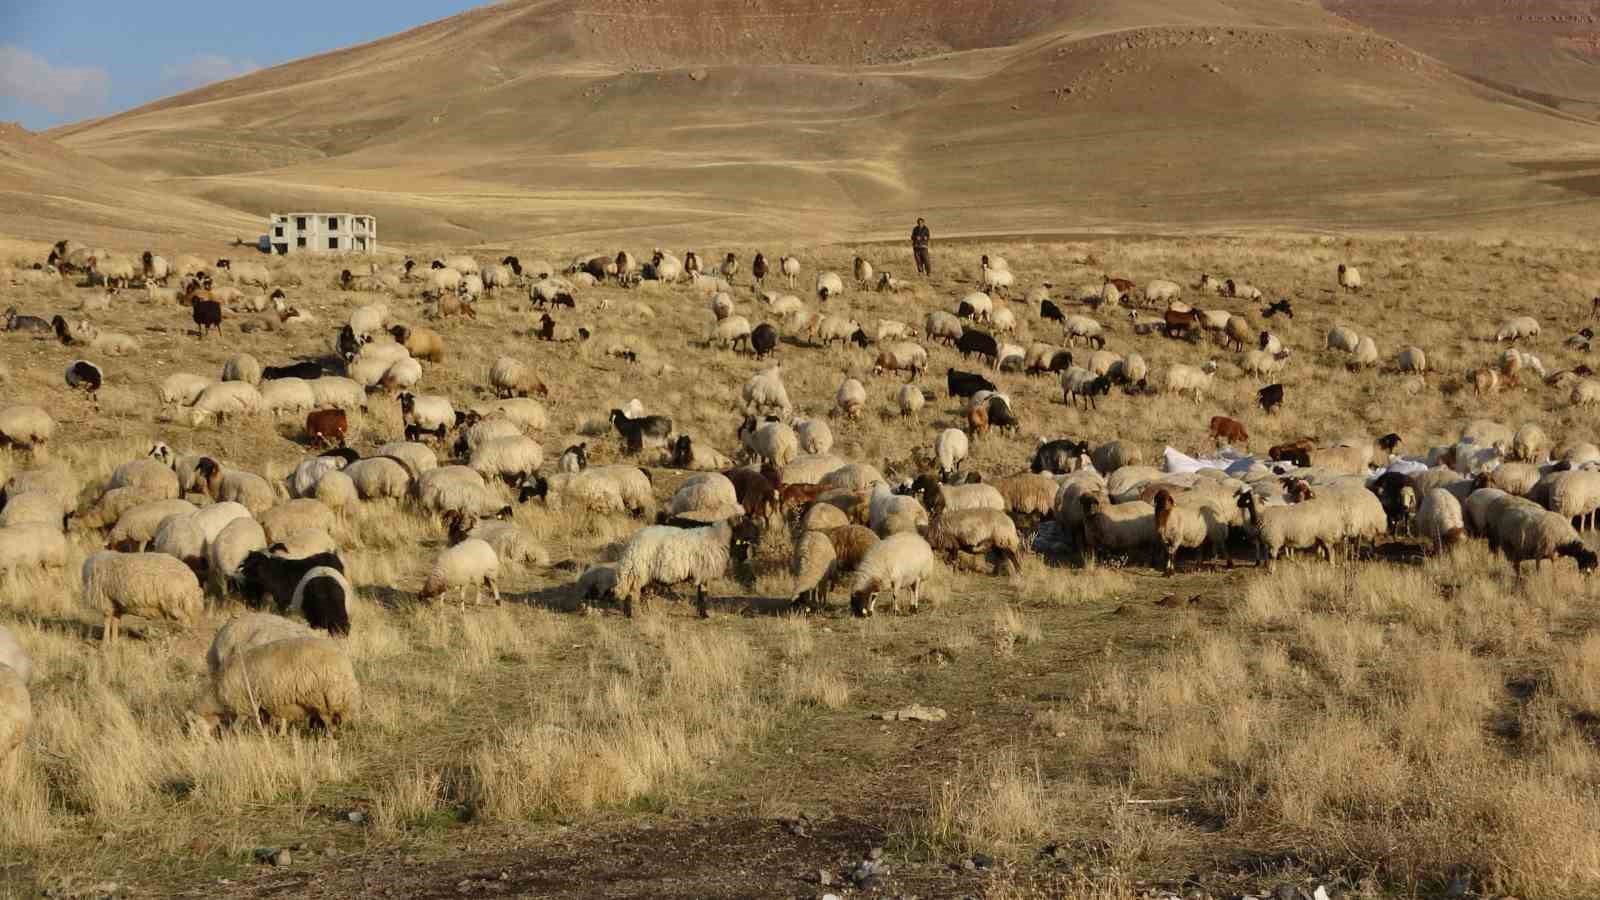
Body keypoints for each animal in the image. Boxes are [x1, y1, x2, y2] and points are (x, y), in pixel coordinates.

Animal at [195, 634, 358, 733]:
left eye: (193, 725)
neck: (216, 696)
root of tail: (346, 667)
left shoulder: (244, 705)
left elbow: (237, 727)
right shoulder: (260, 706)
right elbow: (264, 723)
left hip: (322, 700)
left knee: (331, 725)